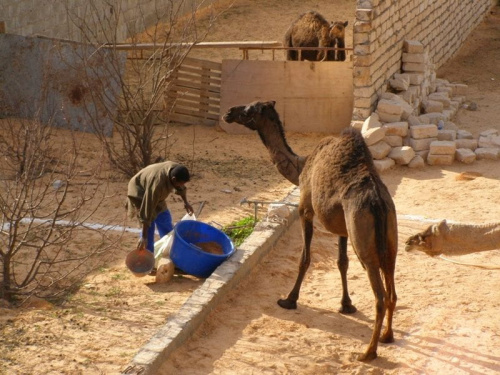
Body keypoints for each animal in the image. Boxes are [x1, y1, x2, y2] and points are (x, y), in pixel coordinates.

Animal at [223, 100, 398, 362]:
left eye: (249, 110)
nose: (228, 112)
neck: (302, 165)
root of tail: (377, 202)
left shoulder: (305, 209)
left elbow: (304, 258)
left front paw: (289, 299)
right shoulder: (342, 228)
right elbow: (342, 262)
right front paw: (346, 305)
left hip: (364, 240)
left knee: (380, 295)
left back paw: (368, 352)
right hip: (389, 237)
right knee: (392, 290)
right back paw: (387, 337)